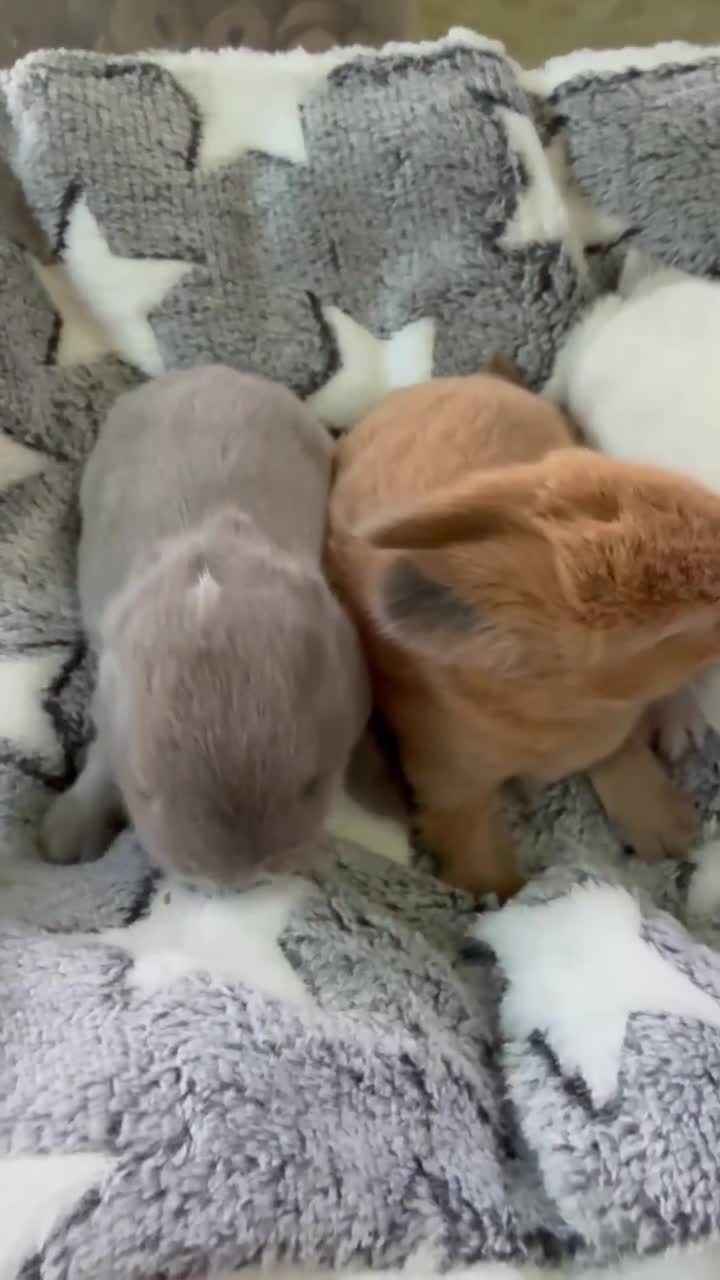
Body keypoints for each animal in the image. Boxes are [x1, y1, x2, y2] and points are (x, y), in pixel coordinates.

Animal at [42, 365, 370, 885]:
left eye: (312, 784)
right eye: (144, 790)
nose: (238, 877)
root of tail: (211, 371)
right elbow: (101, 760)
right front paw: (66, 836)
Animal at [327, 364, 720, 900]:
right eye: (662, 635)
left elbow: (620, 753)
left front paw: (667, 830)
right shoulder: (448, 781)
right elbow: (474, 851)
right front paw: (507, 899)